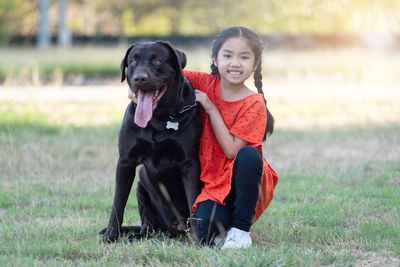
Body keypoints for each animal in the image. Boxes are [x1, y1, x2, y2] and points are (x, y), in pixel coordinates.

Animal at [100, 41, 200, 243]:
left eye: (157, 60)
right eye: (132, 61)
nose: (140, 78)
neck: (158, 119)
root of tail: (176, 228)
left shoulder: (190, 163)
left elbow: (193, 200)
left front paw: (200, 240)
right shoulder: (125, 161)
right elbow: (118, 203)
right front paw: (111, 235)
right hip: (141, 184)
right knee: (147, 225)